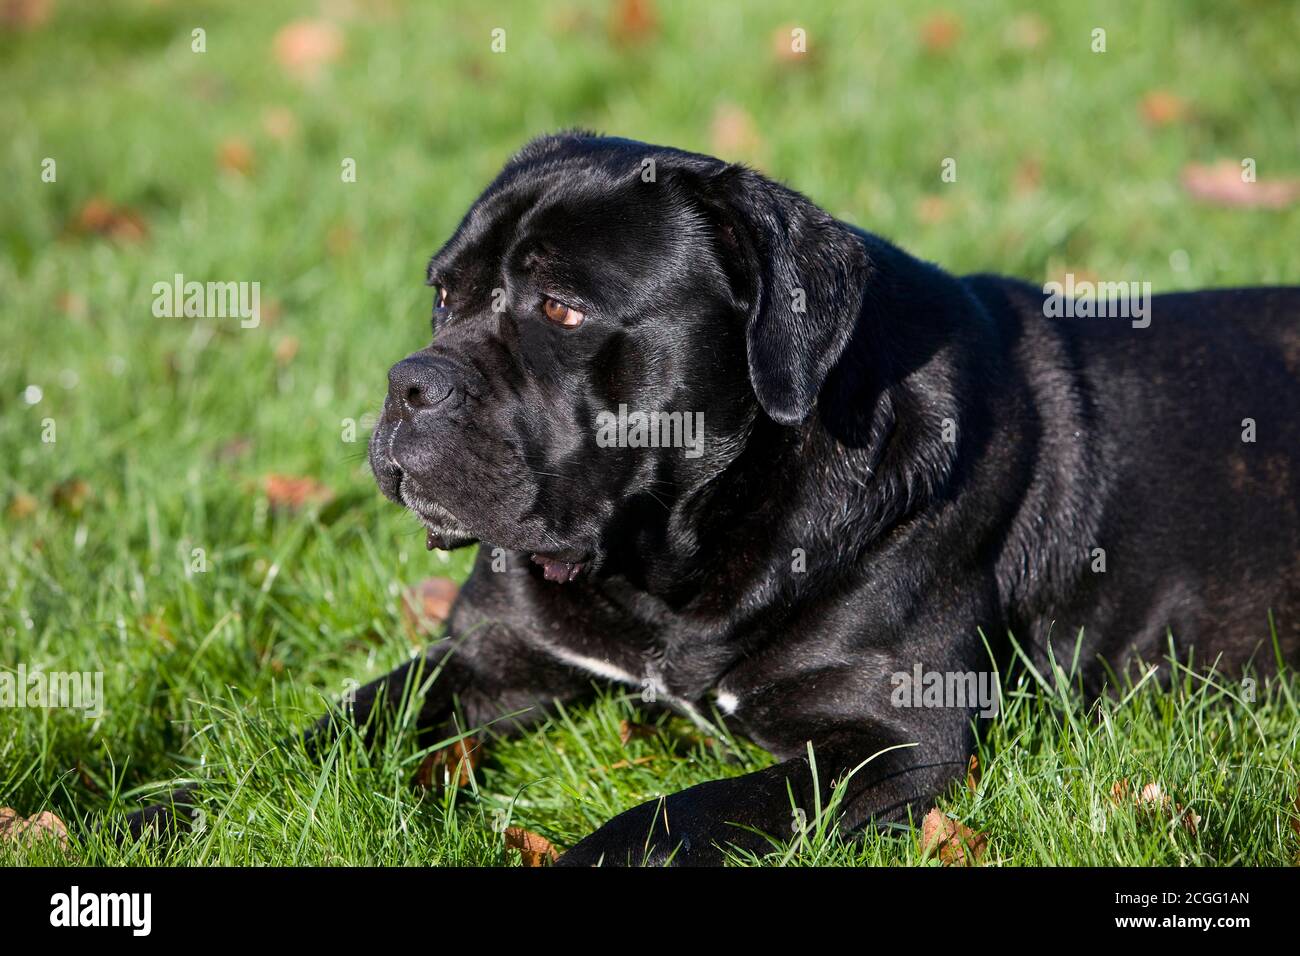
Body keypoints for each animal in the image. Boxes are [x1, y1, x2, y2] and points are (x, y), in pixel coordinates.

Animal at [131, 132, 1300, 868]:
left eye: (561, 309)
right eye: (442, 294)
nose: (411, 381)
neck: (665, 561)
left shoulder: (889, 740)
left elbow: (668, 817)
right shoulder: (487, 660)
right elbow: (325, 730)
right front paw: (166, 806)